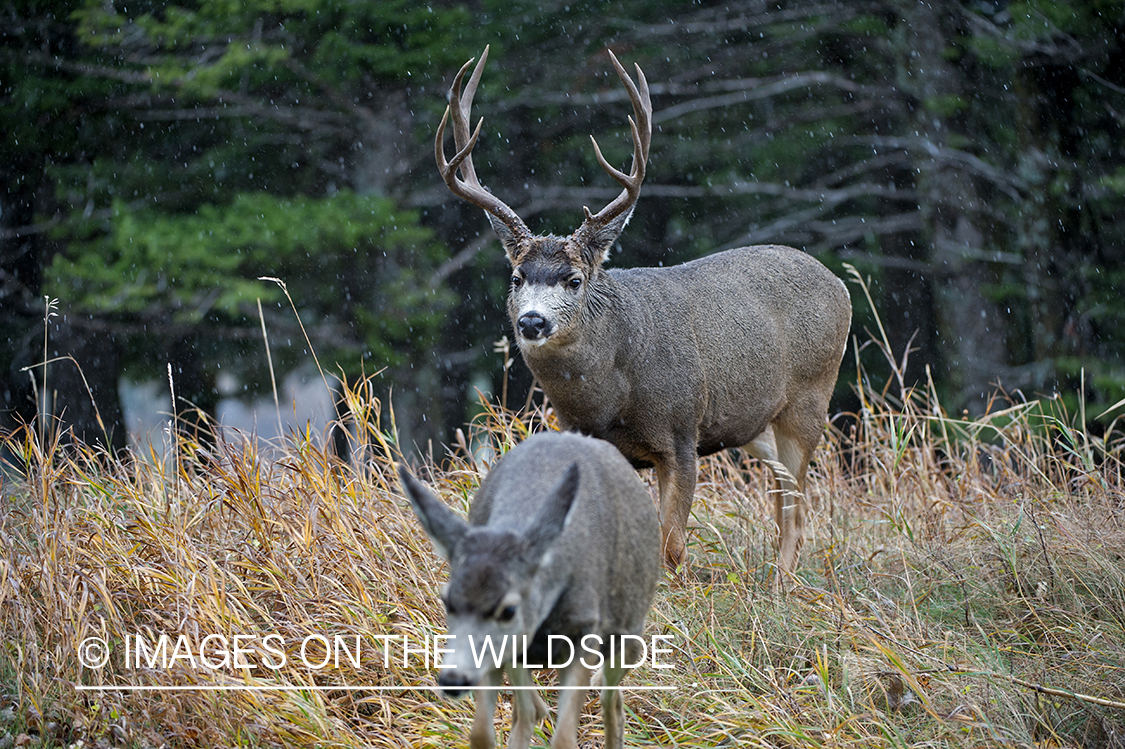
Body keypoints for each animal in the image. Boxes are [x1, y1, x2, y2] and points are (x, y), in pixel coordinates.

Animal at [398, 431, 661, 749]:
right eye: (448, 601)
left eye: (508, 609)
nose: (453, 679)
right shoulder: (508, 650)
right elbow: (485, 731)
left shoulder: (585, 630)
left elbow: (563, 739)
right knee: (535, 710)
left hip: (628, 630)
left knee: (614, 691)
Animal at [435, 46, 852, 583]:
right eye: (516, 278)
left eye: (574, 279)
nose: (532, 322)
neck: (610, 394)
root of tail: (839, 283)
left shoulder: (681, 433)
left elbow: (670, 546)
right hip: (755, 423)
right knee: (784, 495)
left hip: (810, 397)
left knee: (796, 505)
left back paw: (782, 585)